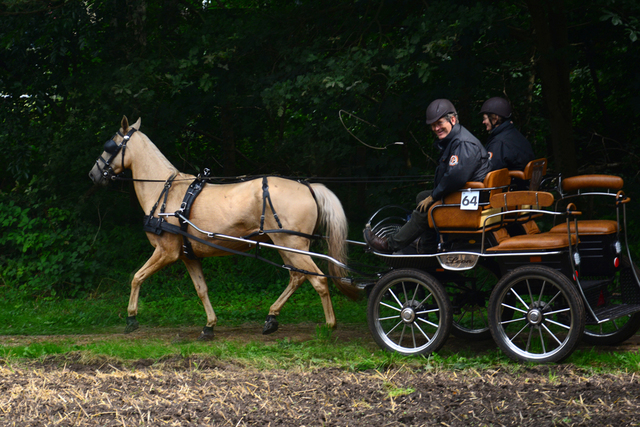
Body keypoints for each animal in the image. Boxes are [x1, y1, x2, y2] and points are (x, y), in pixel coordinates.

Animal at [89, 115, 360, 340]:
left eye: (110, 146)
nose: (93, 175)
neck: (165, 191)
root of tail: (308, 186)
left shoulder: (166, 252)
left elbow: (137, 277)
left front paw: (131, 318)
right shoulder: (188, 255)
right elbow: (201, 289)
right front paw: (209, 326)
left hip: (292, 244)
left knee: (319, 281)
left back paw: (329, 327)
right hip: (286, 245)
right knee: (297, 276)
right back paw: (271, 319)